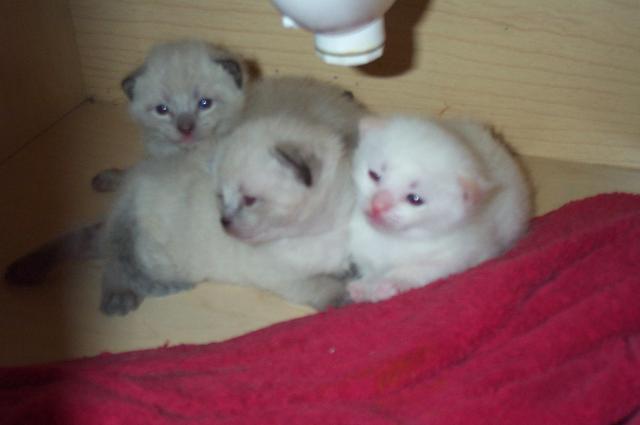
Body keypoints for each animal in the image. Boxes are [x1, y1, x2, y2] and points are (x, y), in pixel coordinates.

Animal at [347, 115, 532, 303]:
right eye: (374, 175)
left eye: (415, 199)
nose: (377, 206)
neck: (393, 239)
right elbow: (370, 269)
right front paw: (364, 286)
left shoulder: (461, 257)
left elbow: (416, 270)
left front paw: (388, 283)